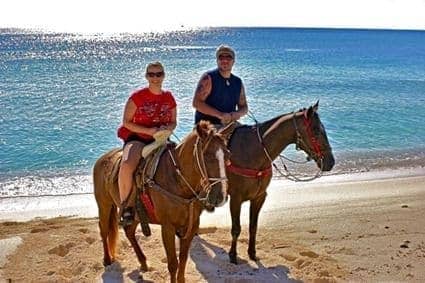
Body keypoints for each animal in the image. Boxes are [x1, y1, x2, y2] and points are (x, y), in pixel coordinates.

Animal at [93, 121, 232, 282]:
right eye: (207, 156)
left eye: (228, 155)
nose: (221, 196)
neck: (177, 180)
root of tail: (102, 159)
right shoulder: (167, 227)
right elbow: (173, 263)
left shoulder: (191, 226)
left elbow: (183, 260)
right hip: (104, 204)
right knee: (103, 230)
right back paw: (107, 259)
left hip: (135, 214)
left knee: (129, 232)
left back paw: (143, 262)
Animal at [225, 102, 334, 264]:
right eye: (316, 130)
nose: (331, 162)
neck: (254, 151)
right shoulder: (236, 198)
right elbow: (236, 229)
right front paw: (232, 255)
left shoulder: (259, 197)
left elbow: (253, 227)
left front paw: (252, 253)